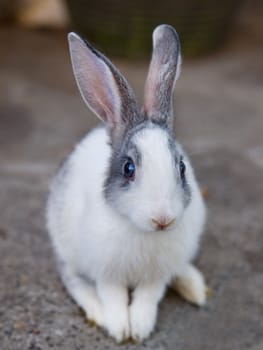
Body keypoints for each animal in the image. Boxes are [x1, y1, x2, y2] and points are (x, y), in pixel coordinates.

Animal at [47, 23, 208, 342]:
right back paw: (96, 311)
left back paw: (195, 288)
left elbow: (148, 296)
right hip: (67, 247)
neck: (144, 232)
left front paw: (141, 326)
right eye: (129, 168)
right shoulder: (105, 271)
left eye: (182, 167)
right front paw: (121, 329)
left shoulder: (157, 275)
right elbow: (114, 296)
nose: (163, 219)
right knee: (73, 278)